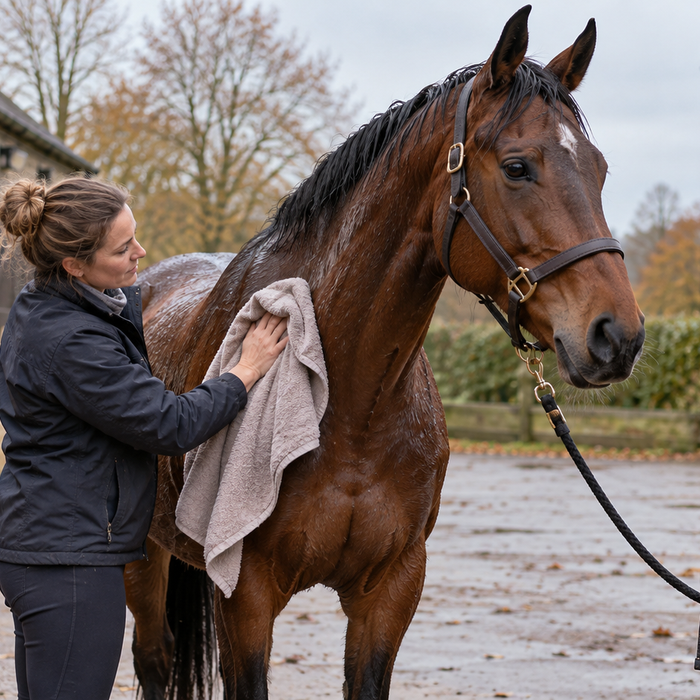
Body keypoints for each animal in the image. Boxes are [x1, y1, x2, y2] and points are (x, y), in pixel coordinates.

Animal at [125, 6, 645, 699]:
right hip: (143, 559)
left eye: (600, 169)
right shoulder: (245, 594)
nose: (618, 336)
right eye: (516, 167)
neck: (354, 403)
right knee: (153, 659)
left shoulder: (392, 591)